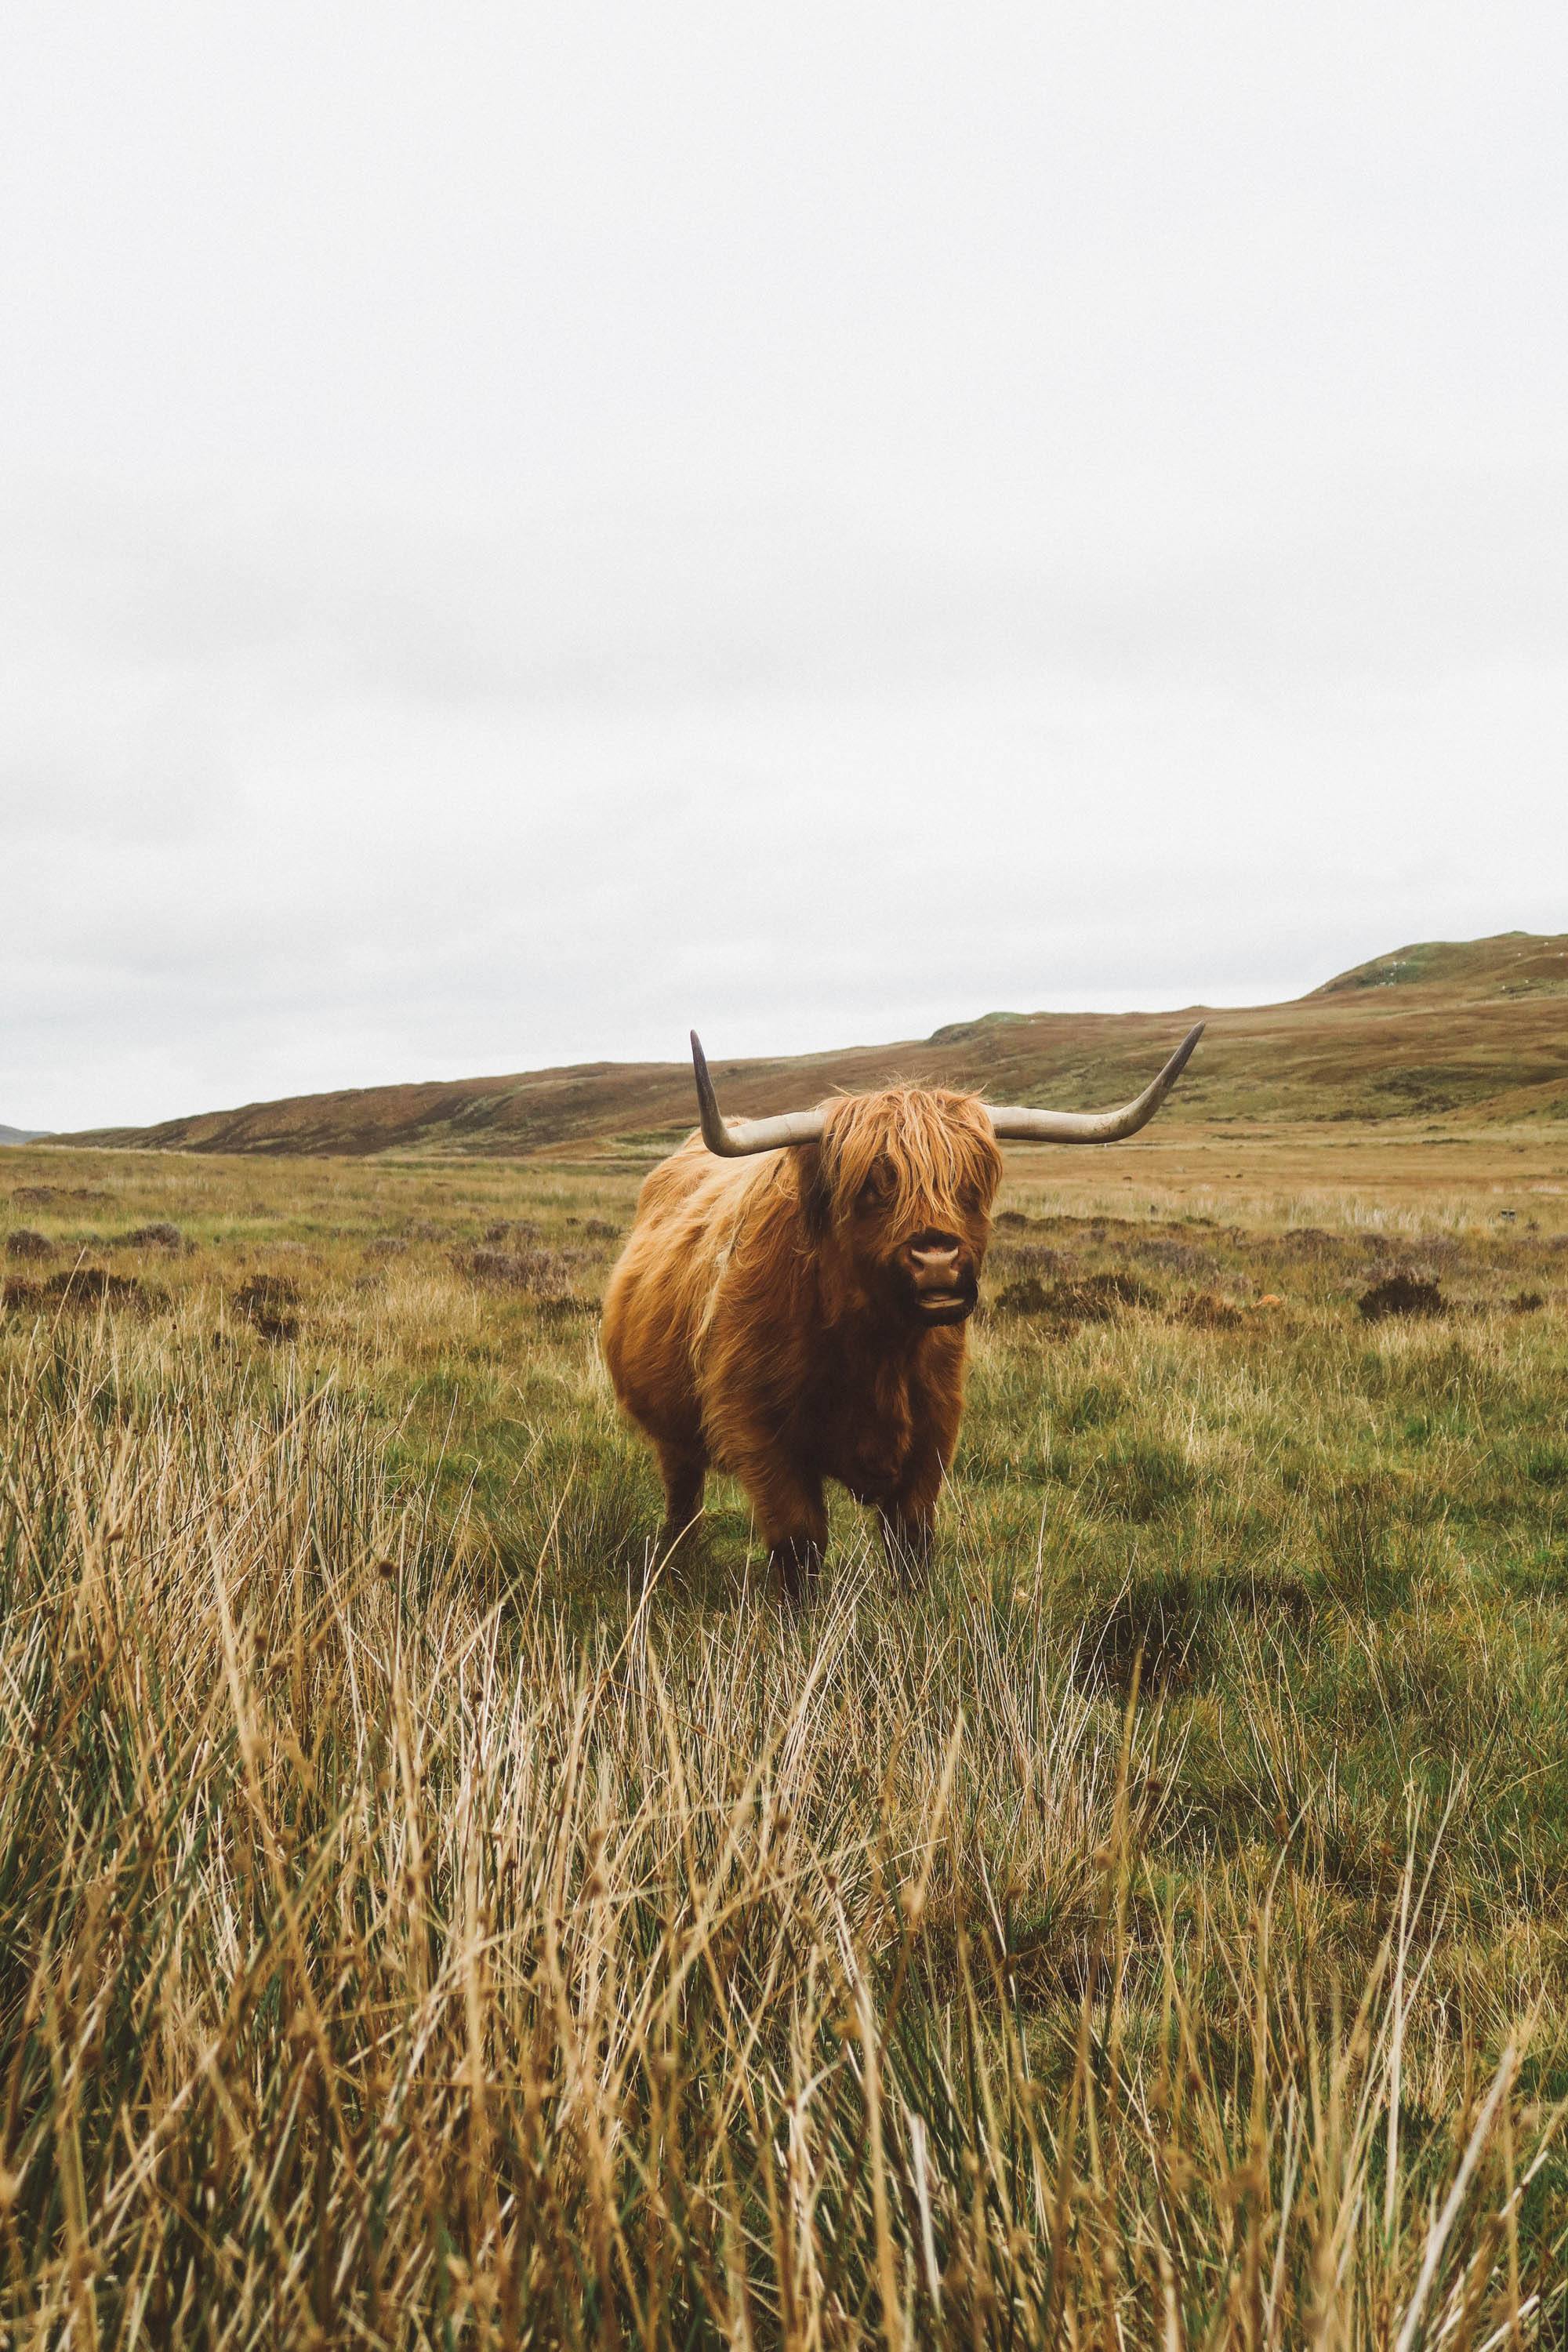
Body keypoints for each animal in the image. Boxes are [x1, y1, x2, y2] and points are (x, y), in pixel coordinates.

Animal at [601, 1025, 1203, 1599]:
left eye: (970, 1184)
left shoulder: (933, 1433)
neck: (875, 1349)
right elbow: (799, 1545)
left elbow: (912, 1544)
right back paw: (676, 1562)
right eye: (873, 1185)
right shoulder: (761, 1433)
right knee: (683, 1497)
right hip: (672, 1432)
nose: (937, 1260)